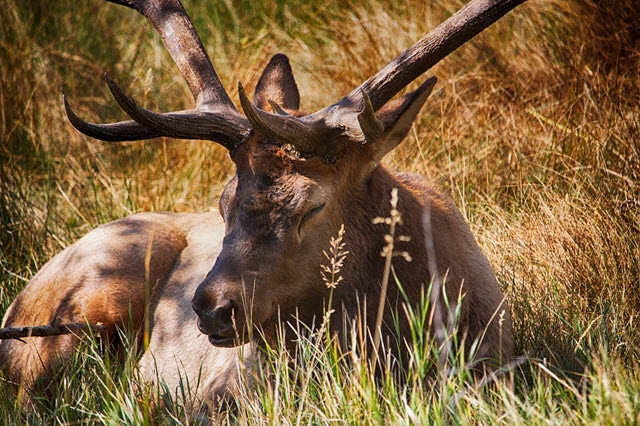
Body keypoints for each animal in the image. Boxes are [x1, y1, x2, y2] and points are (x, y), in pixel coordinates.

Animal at [1, 0, 524, 414]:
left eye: (312, 206)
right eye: (223, 201)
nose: (212, 308)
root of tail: (17, 301)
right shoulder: (223, 388)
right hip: (76, 312)